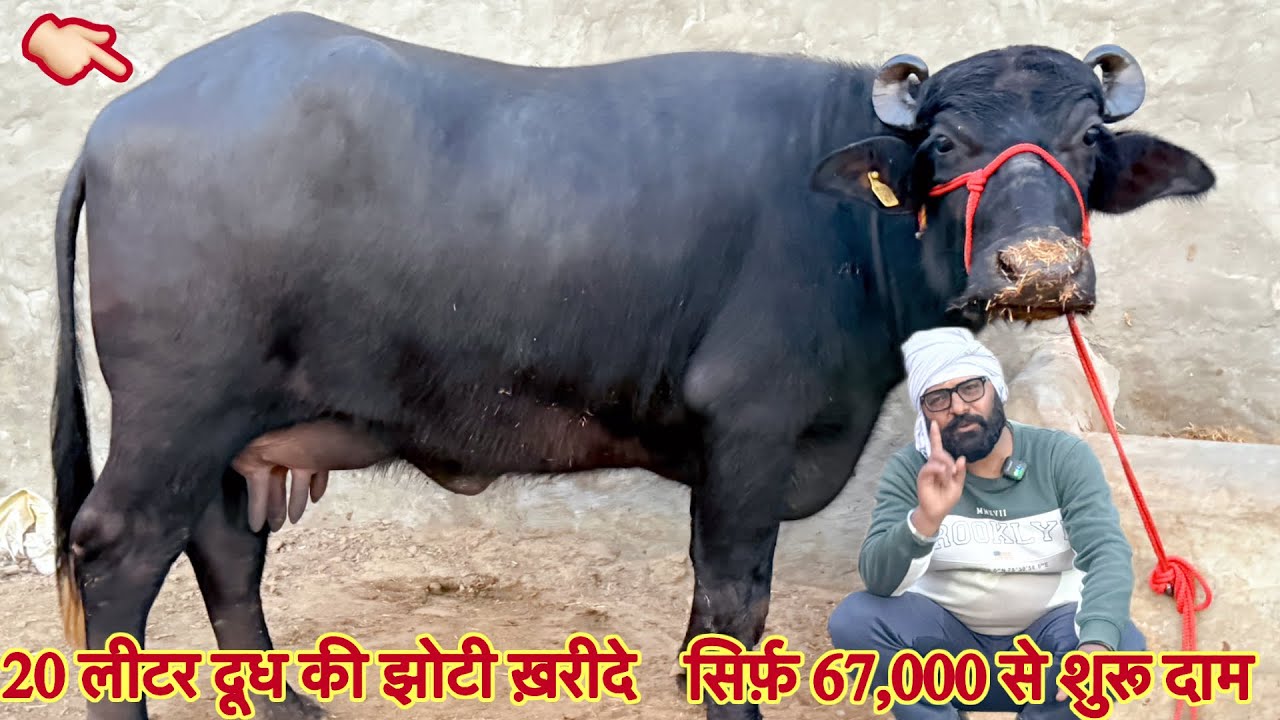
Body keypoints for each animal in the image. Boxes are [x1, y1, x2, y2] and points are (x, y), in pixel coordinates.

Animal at [49, 11, 1214, 719]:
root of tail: (114, 125)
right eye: (944, 146)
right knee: (117, 552)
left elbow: (708, 594)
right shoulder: (749, 432)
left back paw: (283, 696)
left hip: (234, 432)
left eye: (1084, 140)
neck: (843, 230)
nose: (1040, 268)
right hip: (177, 409)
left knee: (220, 549)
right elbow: (738, 596)